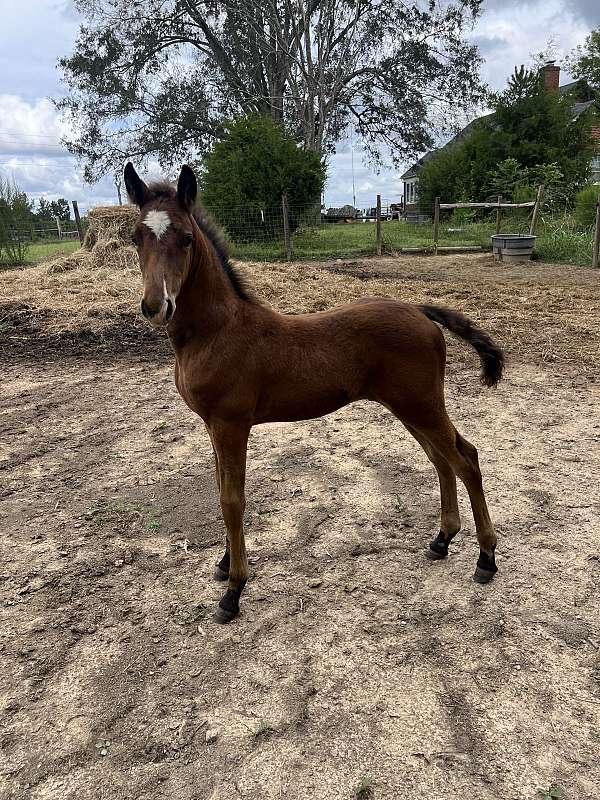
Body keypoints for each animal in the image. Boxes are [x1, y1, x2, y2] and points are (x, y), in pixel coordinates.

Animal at [124, 164, 504, 624]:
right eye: (135, 238)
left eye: (185, 238)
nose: (155, 306)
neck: (217, 331)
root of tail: (419, 310)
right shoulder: (212, 426)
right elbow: (219, 491)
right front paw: (224, 564)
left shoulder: (231, 424)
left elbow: (233, 500)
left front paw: (234, 590)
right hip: (409, 406)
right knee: (440, 459)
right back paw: (442, 540)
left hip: (422, 403)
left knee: (465, 457)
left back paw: (486, 558)